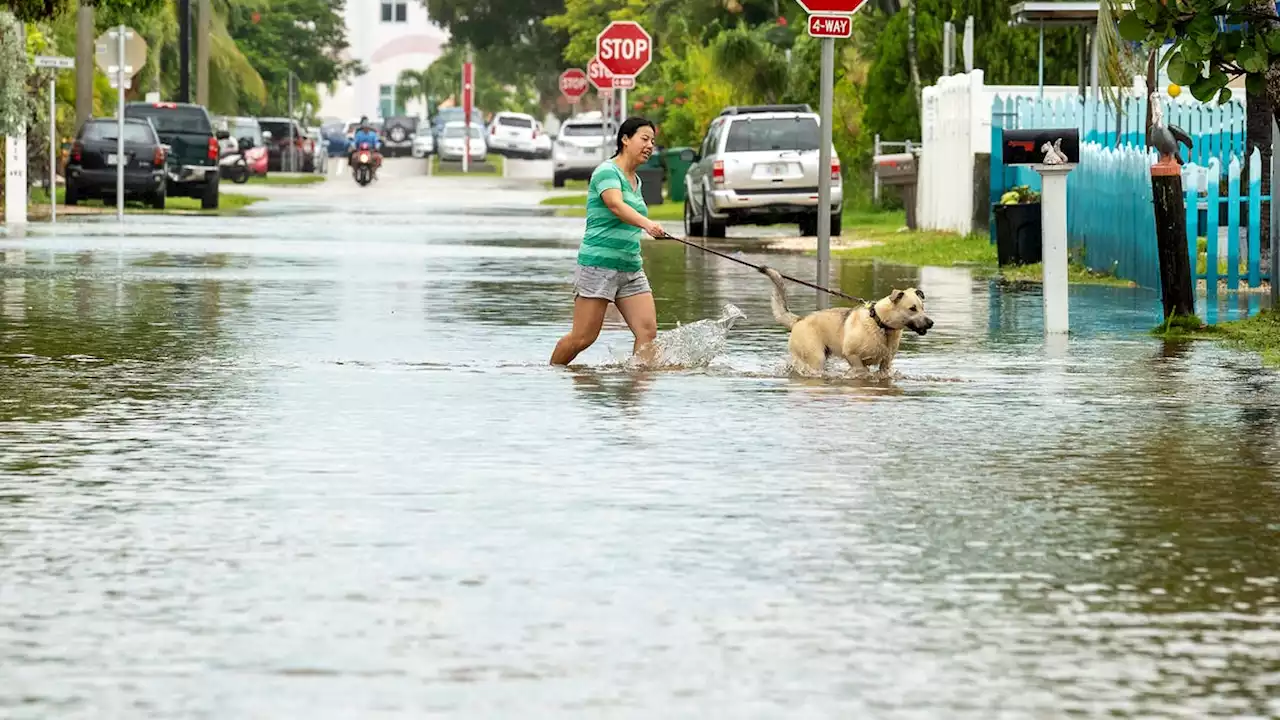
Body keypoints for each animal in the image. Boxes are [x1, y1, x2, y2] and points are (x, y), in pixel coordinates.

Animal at [757, 265, 931, 376]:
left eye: (923, 307)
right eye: (912, 308)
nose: (931, 323)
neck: (880, 324)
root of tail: (799, 320)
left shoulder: (886, 363)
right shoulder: (852, 355)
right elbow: (862, 370)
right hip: (815, 358)